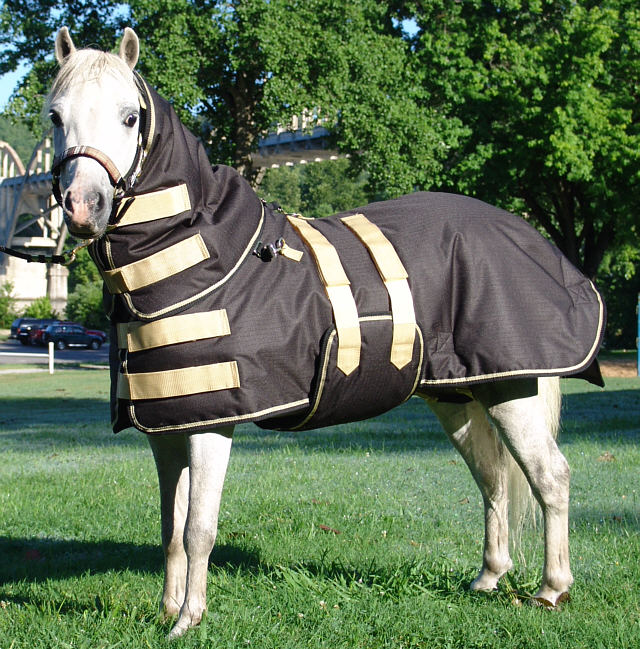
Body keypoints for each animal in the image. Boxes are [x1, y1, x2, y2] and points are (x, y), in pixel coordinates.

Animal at [46, 27, 604, 639]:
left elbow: (198, 529)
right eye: (55, 116)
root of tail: (528, 237)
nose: (82, 207)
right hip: (457, 395)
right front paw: (170, 611)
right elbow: (170, 526)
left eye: (130, 117)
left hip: (512, 390)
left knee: (550, 477)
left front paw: (189, 619)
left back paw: (552, 589)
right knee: (492, 478)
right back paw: (488, 578)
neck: (205, 259)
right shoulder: (169, 426)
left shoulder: (214, 424)